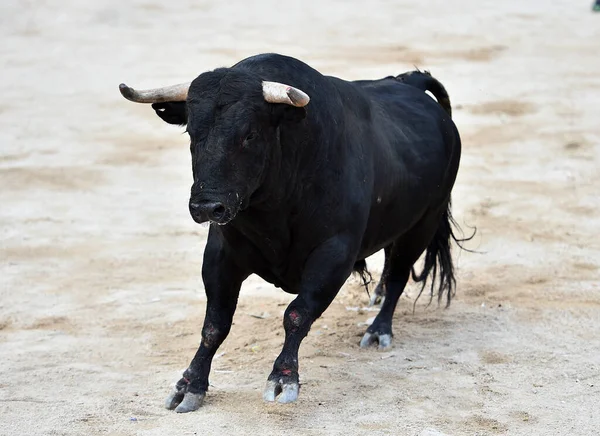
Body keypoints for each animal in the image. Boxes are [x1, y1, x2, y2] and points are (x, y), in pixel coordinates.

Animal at [118, 53, 464, 412]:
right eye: (190, 132)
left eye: (250, 135)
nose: (205, 207)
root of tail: (412, 83)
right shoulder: (220, 254)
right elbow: (215, 323)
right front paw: (190, 385)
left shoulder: (334, 253)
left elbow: (297, 314)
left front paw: (283, 378)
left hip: (423, 224)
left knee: (399, 275)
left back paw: (379, 329)